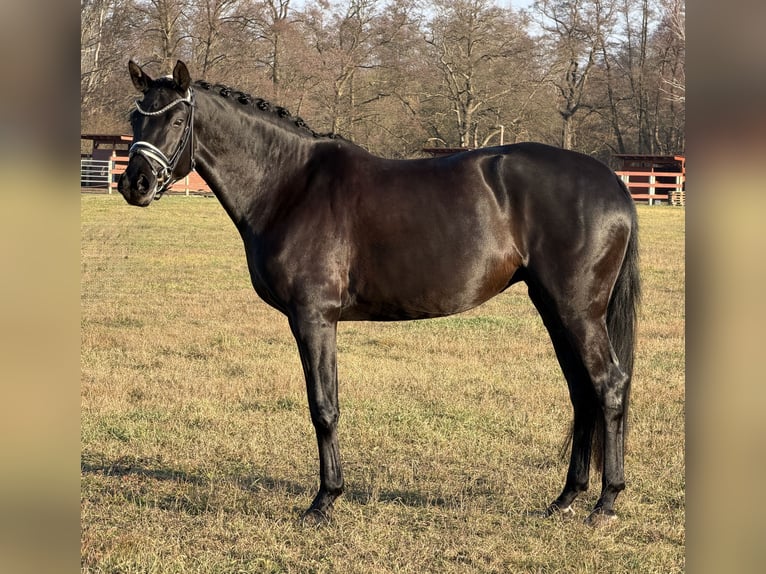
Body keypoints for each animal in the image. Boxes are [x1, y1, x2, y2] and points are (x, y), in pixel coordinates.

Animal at [118, 60, 640, 526]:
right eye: (135, 118)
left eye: (177, 119)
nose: (133, 184)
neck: (288, 184)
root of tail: (612, 184)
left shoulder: (313, 317)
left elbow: (323, 407)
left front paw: (324, 501)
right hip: (554, 308)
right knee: (582, 392)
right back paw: (566, 498)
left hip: (578, 311)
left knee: (608, 385)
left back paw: (605, 503)